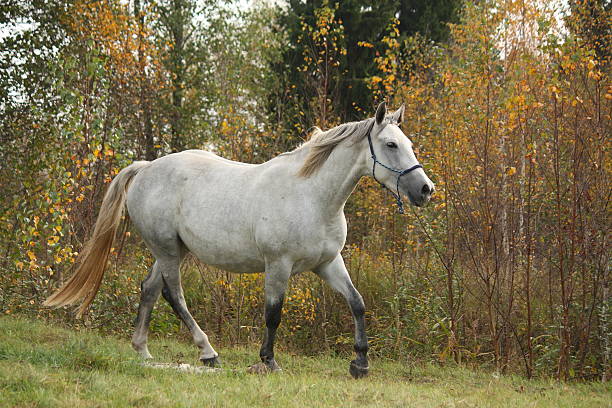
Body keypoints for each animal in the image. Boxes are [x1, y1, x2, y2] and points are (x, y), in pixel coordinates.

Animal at [44, 101, 436, 376]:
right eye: (390, 144)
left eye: (408, 143)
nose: (425, 190)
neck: (312, 195)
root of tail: (146, 169)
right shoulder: (278, 266)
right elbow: (274, 314)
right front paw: (267, 361)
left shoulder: (327, 264)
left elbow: (357, 303)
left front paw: (360, 364)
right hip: (168, 251)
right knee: (174, 294)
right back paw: (208, 352)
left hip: (173, 250)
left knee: (150, 289)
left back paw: (142, 350)